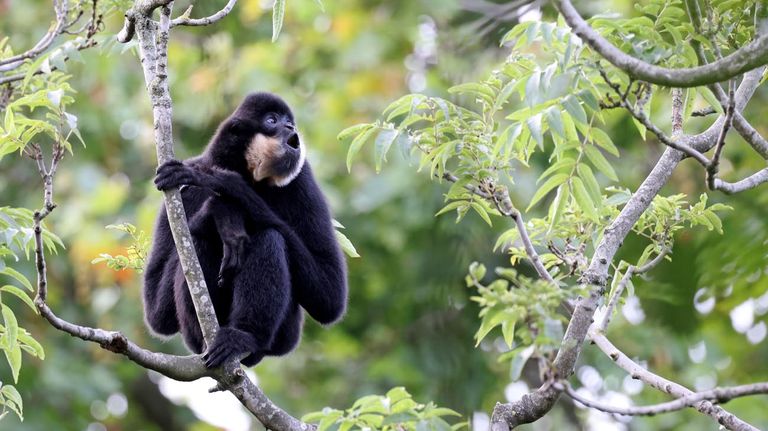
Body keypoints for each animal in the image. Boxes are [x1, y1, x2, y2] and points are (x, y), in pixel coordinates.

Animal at [144, 92, 348, 368]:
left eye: (289, 120)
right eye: (272, 120)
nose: (290, 127)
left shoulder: (303, 178)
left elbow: (330, 297)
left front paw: (225, 187)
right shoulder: (176, 190)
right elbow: (159, 316)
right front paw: (223, 213)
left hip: (285, 335)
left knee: (269, 237)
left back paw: (243, 337)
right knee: (200, 240)